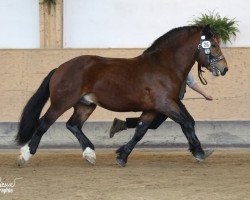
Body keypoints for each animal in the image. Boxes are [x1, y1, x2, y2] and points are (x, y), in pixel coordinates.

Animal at [16, 25, 229, 166]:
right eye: (214, 45)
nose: (224, 69)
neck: (164, 66)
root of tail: (60, 68)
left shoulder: (153, 109)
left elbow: (141, 130)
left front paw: (122, 155)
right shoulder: (166, 104)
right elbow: (187, 123)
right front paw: (200, 152)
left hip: (85, 105)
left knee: (73, 125)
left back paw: (90, 154)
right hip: (61, 102)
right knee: (44, 123)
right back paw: (25, 155)